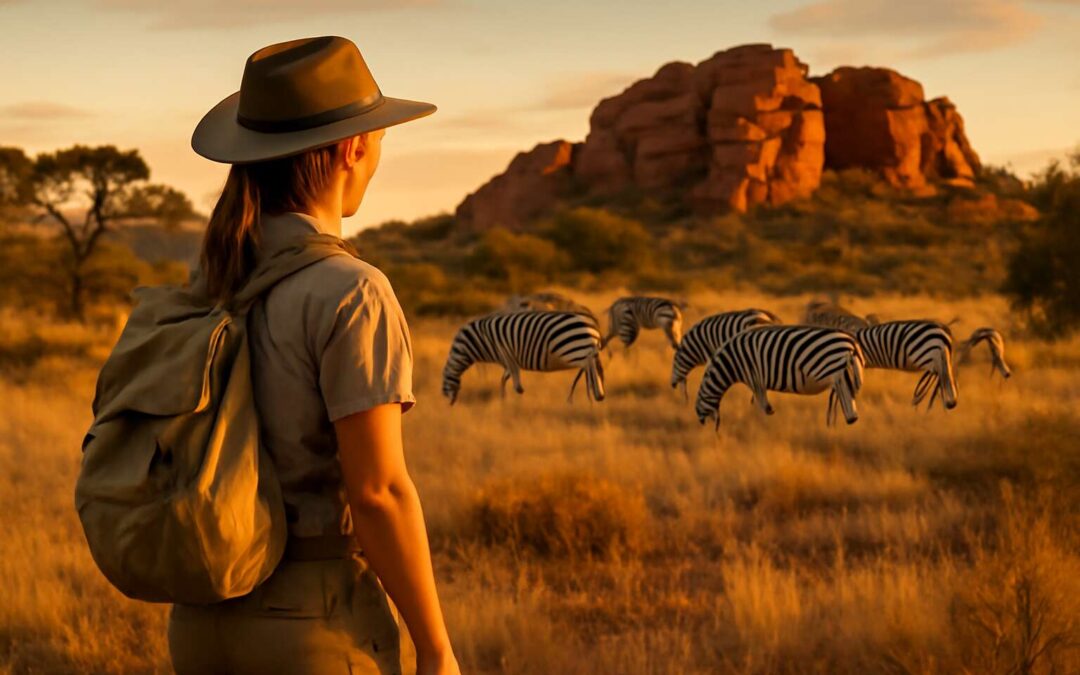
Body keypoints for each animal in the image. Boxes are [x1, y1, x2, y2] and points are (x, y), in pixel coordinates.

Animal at [442, 311, 605, 404]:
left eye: (444, 382)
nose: (449, 404)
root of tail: (593, 328)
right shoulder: (508, 359)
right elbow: (504, 379)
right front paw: (504, 398)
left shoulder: (505, 354)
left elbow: (512, 381)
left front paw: (513, 397)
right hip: (582, 350)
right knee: (591, 367)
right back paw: (594, 393)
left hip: (575, 350)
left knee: (589, 365)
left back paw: (594, 394)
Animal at [695, 325, 865, 429]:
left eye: (698, 407)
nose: (702, 425)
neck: (732, 362)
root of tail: (852, 342)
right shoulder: (756, 378)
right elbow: (759, 401)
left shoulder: (753, 375)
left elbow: (761, 403)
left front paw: (762, 420)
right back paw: (837, 422)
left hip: (837, 372)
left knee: (844, 394)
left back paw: (850, 419)